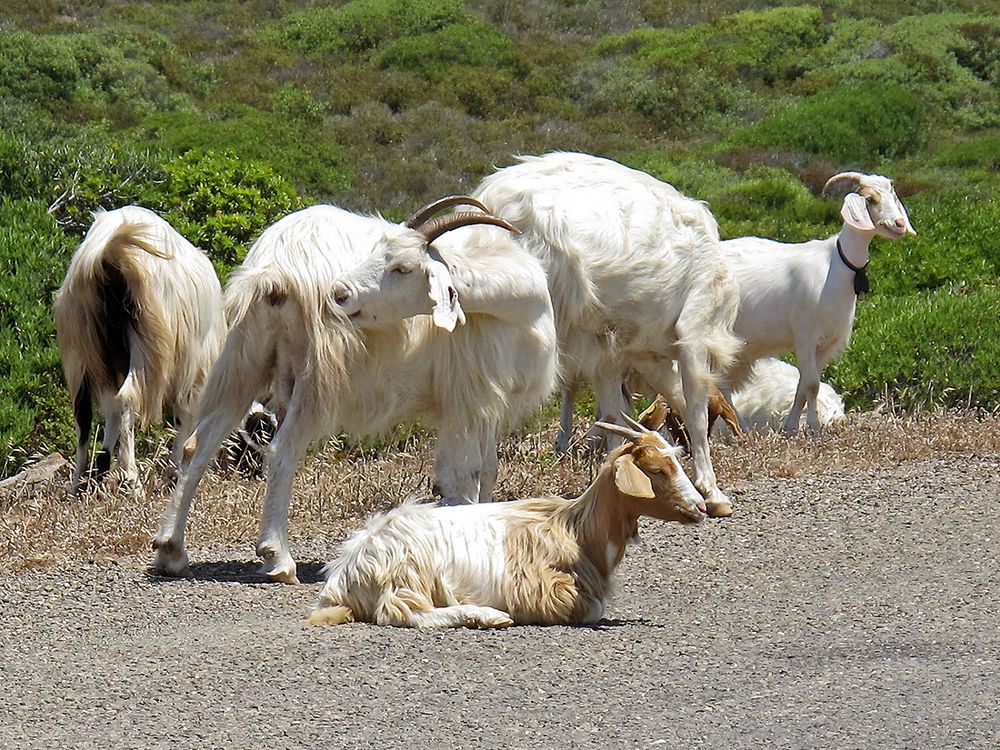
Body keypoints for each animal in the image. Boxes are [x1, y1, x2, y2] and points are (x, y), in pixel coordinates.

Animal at [52, 209, 225, 496]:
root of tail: (108, 253)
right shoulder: (193, 366)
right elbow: (183, 416)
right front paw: (175, 472)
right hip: (147, 341)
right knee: (128, 397)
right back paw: (132, 480)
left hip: (81, 342)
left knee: (84, 414)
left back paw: (78, 485)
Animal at [153, 197, 560, 584]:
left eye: (403, 268)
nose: (340, 292)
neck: (520, 300)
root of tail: (276, 265)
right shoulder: (473, 396)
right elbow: (470, 475)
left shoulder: (475, 402)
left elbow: (474, 473)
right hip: (318, 374)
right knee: (282, 450)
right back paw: (277, 558)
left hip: (244, 356)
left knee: (198, 445)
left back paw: (171, 550)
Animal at [308, 414, 708, 632]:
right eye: (656, 470)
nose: (701, 507)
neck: (576, 531)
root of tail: (343, 573)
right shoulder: (548, 590)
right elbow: (593, 610)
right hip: (408, 571)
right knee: (404, 613)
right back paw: (488, 616)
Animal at [470, 151, 744, 516]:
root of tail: (494, 203)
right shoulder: (692, 330)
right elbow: (694, 409)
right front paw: (713, 493)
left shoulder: (614, 350)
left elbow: (617, 414)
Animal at [720, 173, 916, 434]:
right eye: (869, 199)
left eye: (892, 195)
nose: (899, 224)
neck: (836, 265)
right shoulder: (805, 334)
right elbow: (812, 384)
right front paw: (812, 426)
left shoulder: (826, 342)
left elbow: (805, 385)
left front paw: (792, 427)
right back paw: (740, 429)